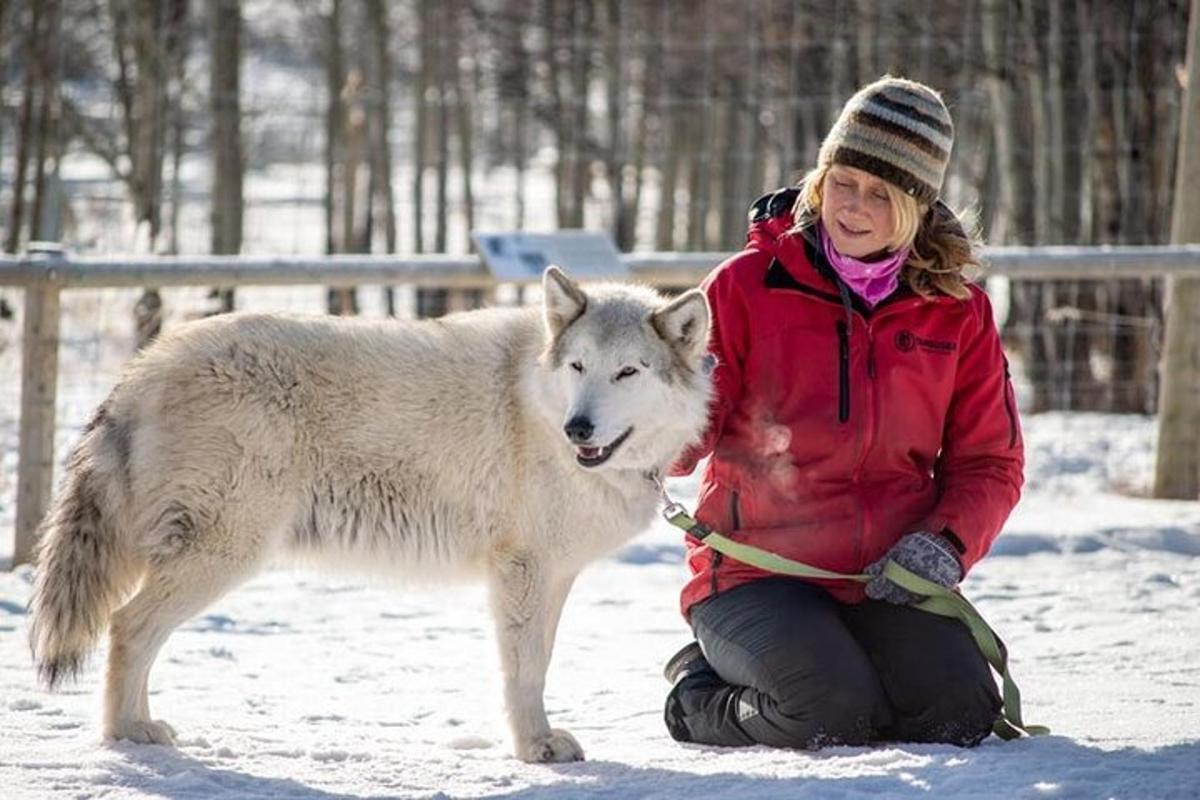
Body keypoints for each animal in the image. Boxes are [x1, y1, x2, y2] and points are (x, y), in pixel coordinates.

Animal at [25, 267, 710, 762]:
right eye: (578, 367)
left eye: (627, 372)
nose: (579, 428)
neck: (540, 410)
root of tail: (140, 369)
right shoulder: (522, 572)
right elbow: (525, 671)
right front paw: (534, 748)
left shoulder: (553, 575)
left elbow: (536, 662)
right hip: (224, 554)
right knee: (127, 626)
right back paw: (127, 735)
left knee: (134, 632)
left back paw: (140, 728)